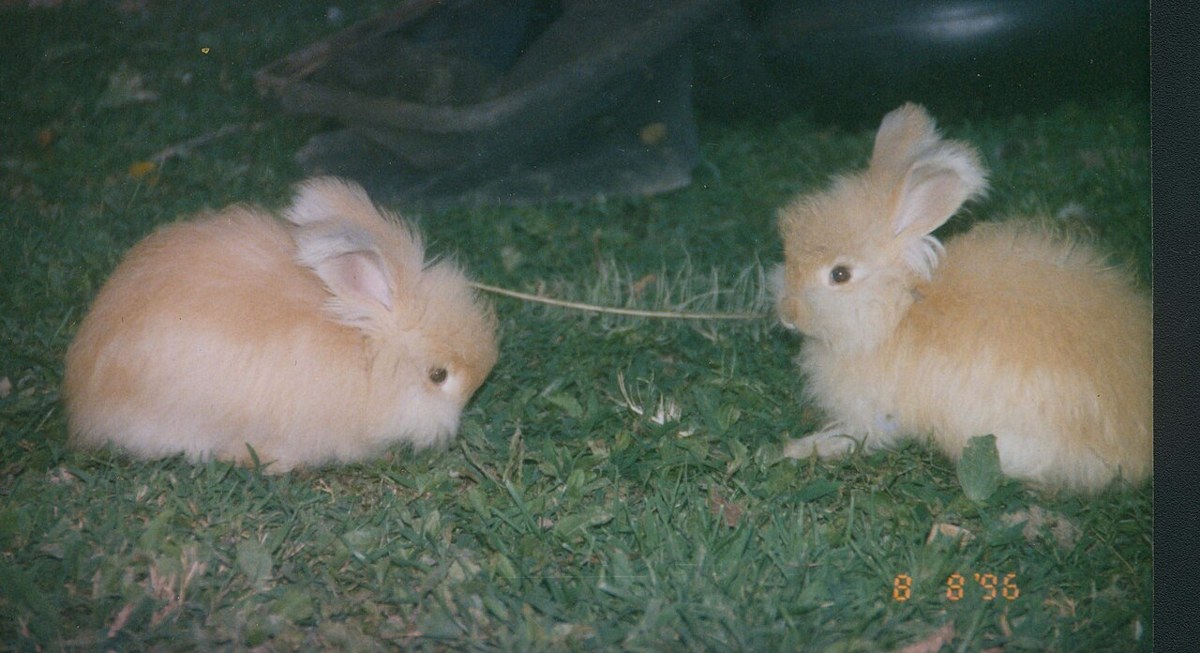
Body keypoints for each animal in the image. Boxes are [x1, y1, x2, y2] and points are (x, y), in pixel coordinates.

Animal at [771, 103, 1151, 492]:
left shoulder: (876, 414)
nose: (787, 312)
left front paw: (799, 448)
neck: (899, 310)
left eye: (840, 274)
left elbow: (856, 437)